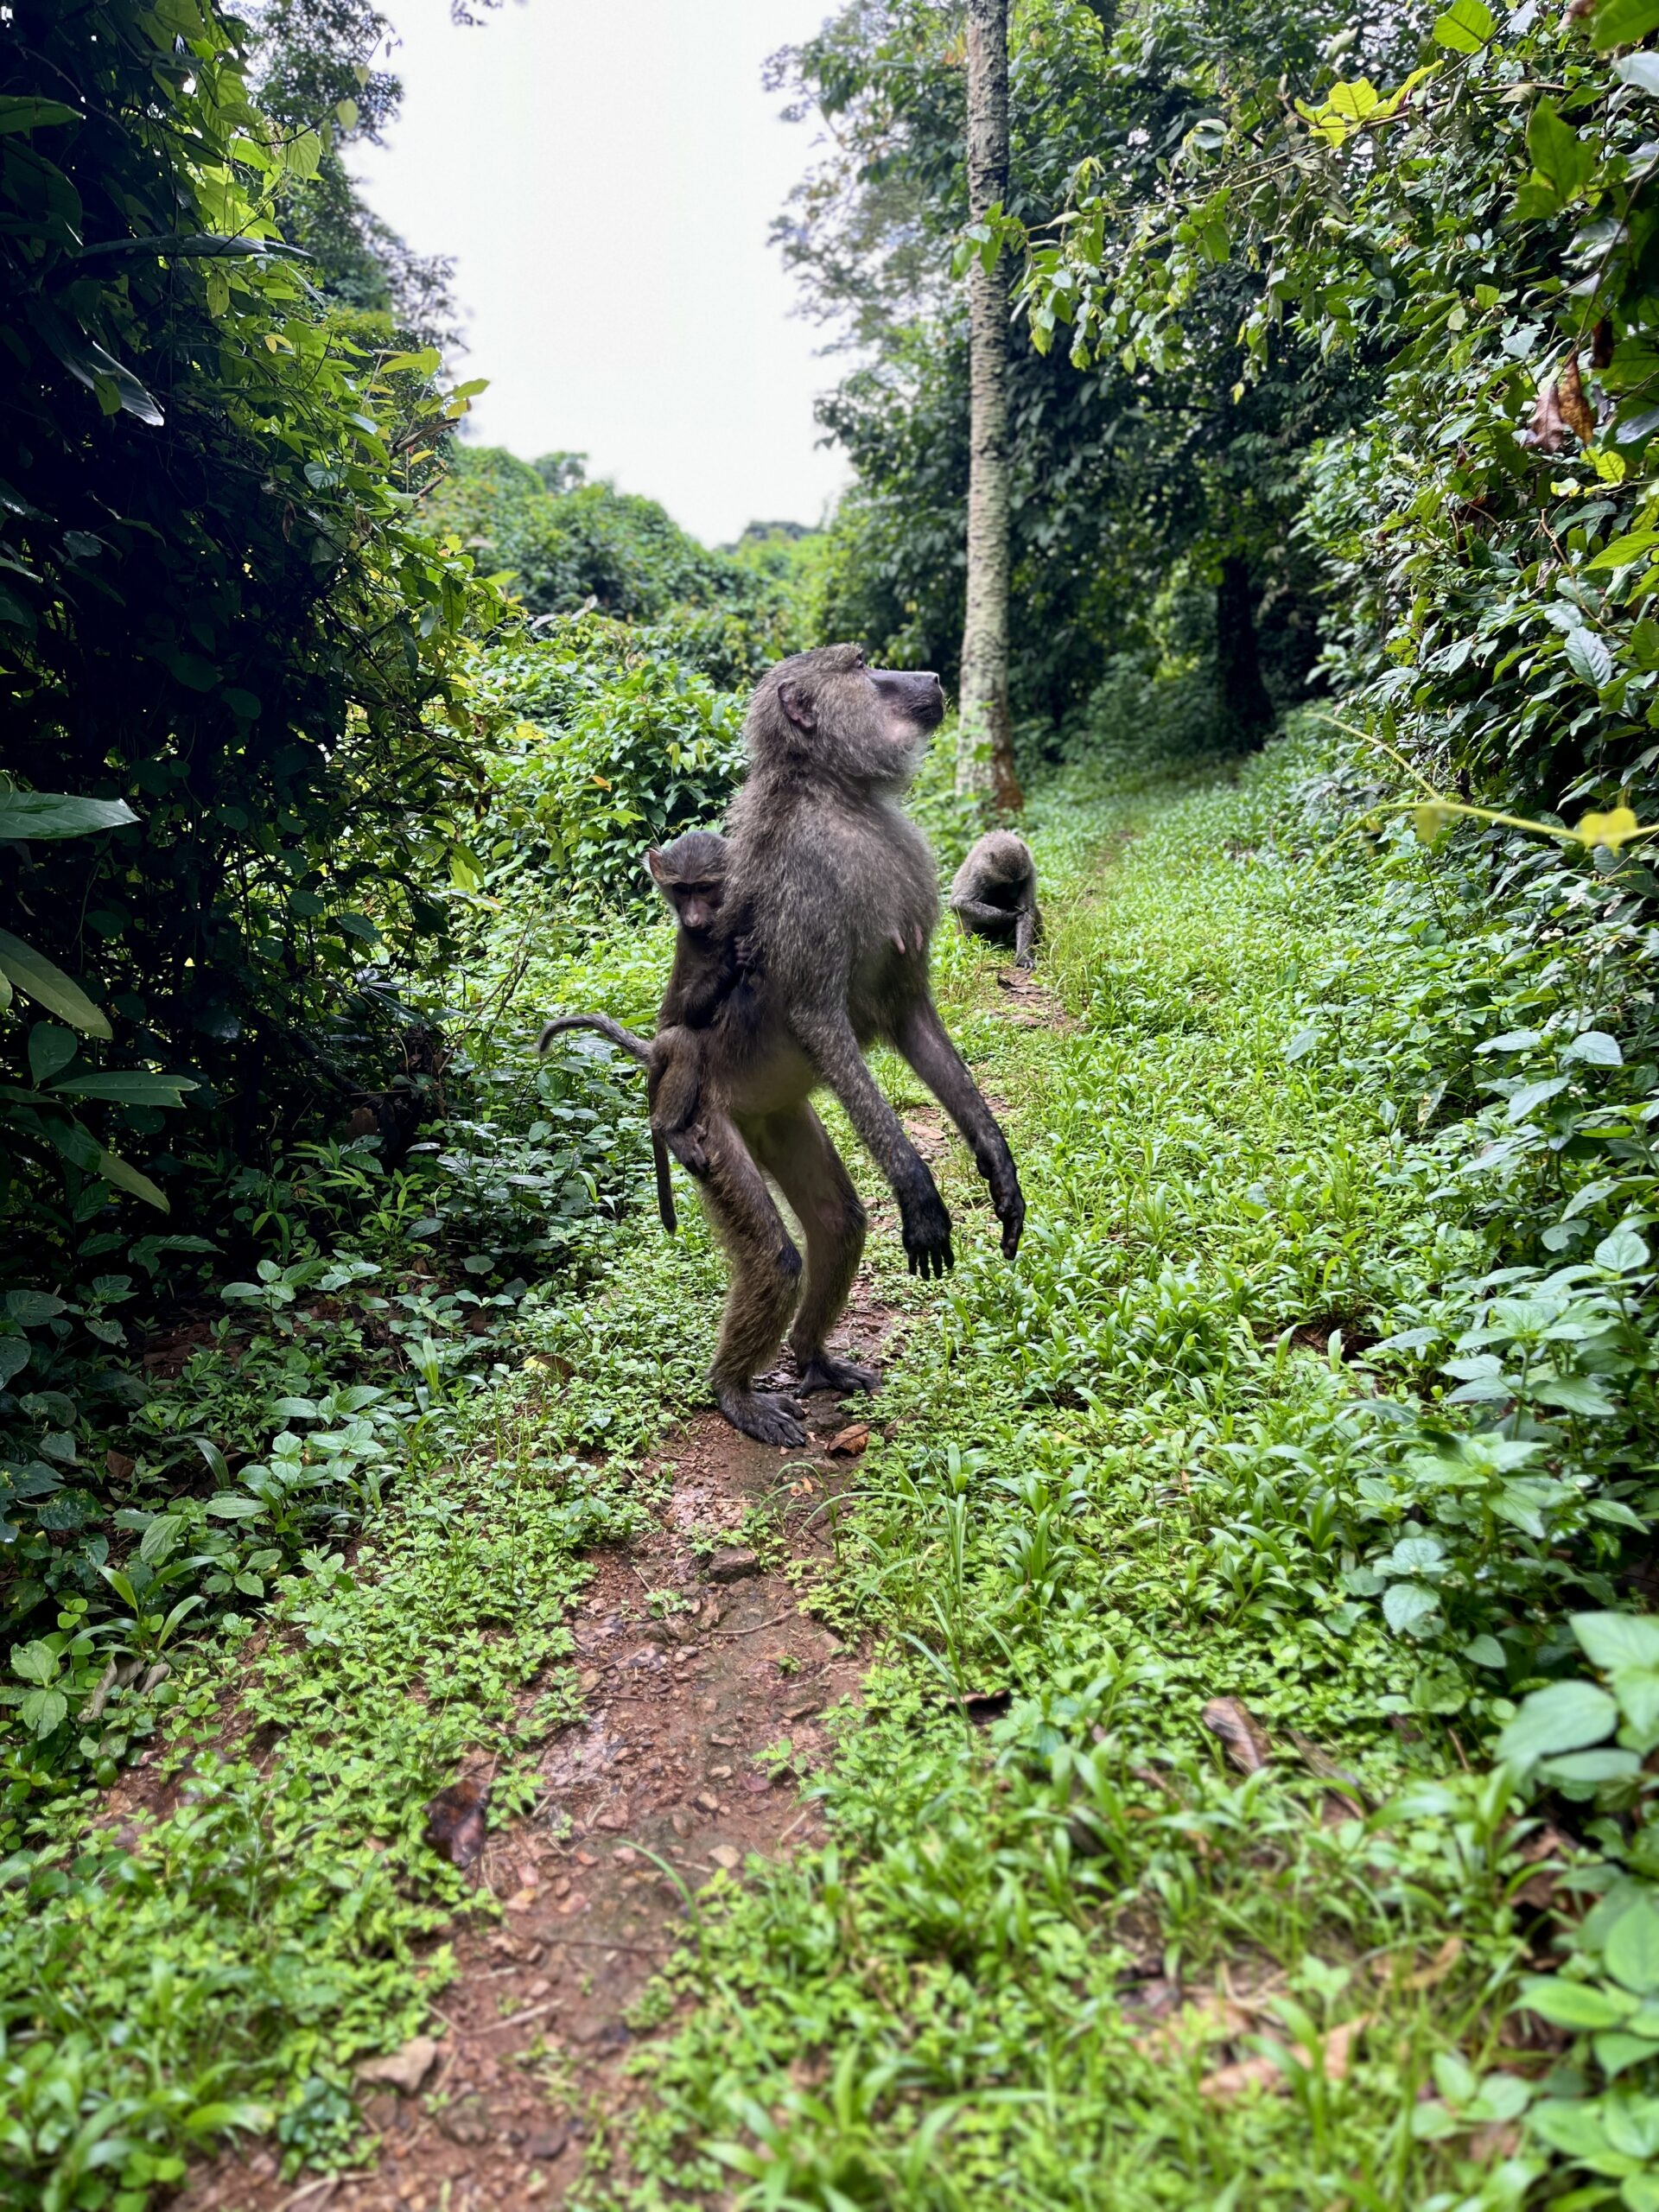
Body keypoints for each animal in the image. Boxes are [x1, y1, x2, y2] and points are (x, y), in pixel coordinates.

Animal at [538, 830, 739, 1235]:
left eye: (704, 888)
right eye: (682, 890)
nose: (693, 919)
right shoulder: (689, 942)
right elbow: (688, 1010)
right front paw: (728, 962)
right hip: (665, 1050)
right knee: (682, 1043)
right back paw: (669, 1130)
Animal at [677, 644, 1025, 1450]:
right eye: (864, 667)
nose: (932, 679)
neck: (839, 797)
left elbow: (912, 1018)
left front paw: (997, 1164)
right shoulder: (807, 883)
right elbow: (817, 1018)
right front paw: (918, 1191)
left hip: (775, 1115)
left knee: (839, 1222)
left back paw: (813, 1360)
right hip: (708, 1124)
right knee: (776, 1257)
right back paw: (734, 1391)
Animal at [949, 829, 1042, 970]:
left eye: (1018, 882)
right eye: (1006, 884)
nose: (1014, 894)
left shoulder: (1029, 869)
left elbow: (1027, 910)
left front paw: (1023, 956)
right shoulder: (979, 873)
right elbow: (958, 903)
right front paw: (1005, 917)